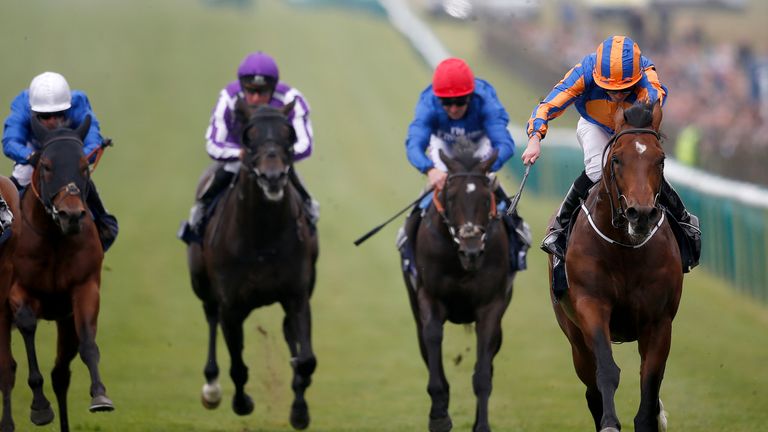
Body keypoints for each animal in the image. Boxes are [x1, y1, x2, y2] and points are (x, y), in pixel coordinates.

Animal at [4, 115, 114, 432]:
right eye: (46, 165)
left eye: (84, 165)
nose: (71, 215)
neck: (54, 237)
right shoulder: (18, 292)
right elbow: (27, 325)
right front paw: (40, 407)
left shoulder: (84, 288)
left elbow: (87, 341)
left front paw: (100, 396)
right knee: (6, 369)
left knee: (60, 374)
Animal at [188, 101, 320, 428]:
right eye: (250, 137)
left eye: (289, 134)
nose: (273, 177)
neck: (262, 235)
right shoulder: (231, 306)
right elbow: (237, 364)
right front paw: (241, 402)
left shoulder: (297, 295)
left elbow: (306, 360)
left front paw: (299, 411)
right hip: (201, 284)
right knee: (210, 316)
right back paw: (211, 388)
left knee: (288, 333)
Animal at [402, 145, 516, 432]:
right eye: (451, 198)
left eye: (486, 199)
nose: (471, 251)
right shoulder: (429, 298)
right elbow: (433, 340)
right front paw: (439, 416)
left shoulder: (491, 307)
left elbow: (483, 374)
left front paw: (482, 425)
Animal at [552, 101, 684, 432]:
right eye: (616, 159)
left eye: (661, 160)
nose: (642, 214)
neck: (625, 248)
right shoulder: (591, 304)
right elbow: (607, 370)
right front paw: (610, 423)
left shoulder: (658, 320)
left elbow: (650, 381)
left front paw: (650, 420)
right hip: (574, 335)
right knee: (591, 385)